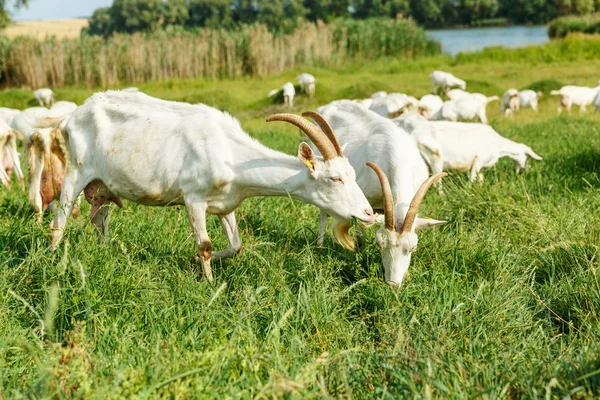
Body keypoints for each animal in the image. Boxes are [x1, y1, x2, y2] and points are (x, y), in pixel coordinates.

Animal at [38, 92, 376, 282]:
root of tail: (71, 117)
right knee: (60, 221)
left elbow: (236, 245)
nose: (369, 214)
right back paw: (52, 261)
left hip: (102, 186)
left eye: (352, 174)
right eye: (335, 178)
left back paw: (104, 252)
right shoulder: (194, 199)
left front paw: (198, 264)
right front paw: (210, 285)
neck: (230, 152)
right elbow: (205, 244)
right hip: (77, 170)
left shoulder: (226, 202)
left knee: (101, 219)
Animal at [314, 101, 446, 286]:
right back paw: (319, 245)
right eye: (379, 244)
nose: (393, 285)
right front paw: (358, 256)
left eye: (413, 248)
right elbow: (360, 234)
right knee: (323, 213)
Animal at [396, 112, 540, 181]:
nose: (523, 171)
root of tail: (413, 135)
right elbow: (472, 179)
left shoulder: (481, 166)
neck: (498, 145)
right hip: (434, 156)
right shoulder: (477, 161)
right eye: (527, 158)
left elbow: (480, 180)